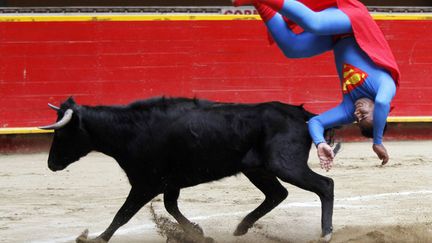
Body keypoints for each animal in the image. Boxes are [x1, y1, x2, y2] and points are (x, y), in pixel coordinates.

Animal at [40, 97, 336, 243]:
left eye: (63, 134)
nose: (51, 164)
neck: (130, 131)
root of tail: (305, 116)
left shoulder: (145, 184)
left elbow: (122, 215)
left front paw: (96, 239)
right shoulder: (169, 183)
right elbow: (171, 207)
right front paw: (199, 234)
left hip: (285, 165)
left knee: (325, 186)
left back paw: (326, 233)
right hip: (259, 169)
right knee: (277, 194)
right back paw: (241, 228)